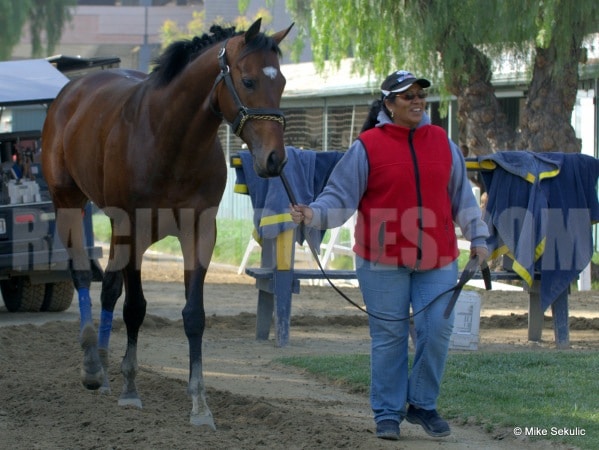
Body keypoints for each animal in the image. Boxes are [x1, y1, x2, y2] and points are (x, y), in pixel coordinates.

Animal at [41, 18, 292, 428]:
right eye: (249, 80)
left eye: (282, 81)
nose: (275, 159)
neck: (170, 138)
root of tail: (72, 91)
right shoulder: (133, 228)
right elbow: (135, 308)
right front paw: (130, 389)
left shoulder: (199, 232)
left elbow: (193, 315)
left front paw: (200, 405)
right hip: (69, 204)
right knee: (81, 275)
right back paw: (92, 364)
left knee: (108, 287)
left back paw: (103, 368)